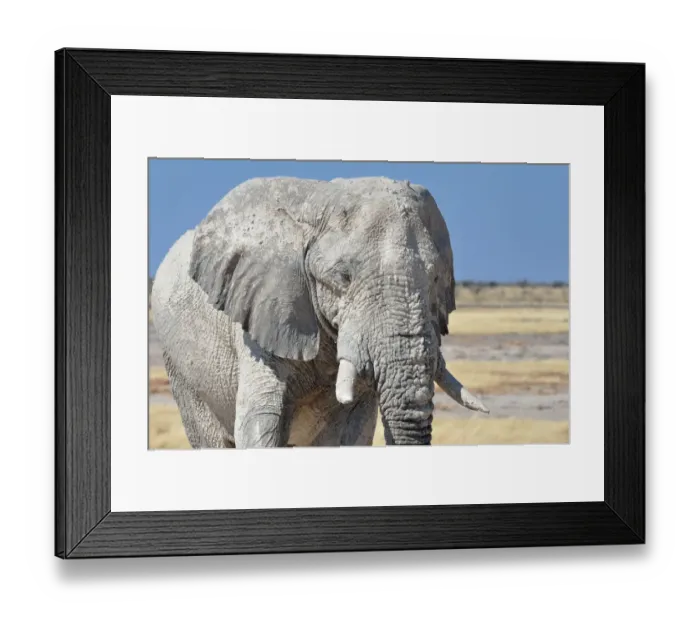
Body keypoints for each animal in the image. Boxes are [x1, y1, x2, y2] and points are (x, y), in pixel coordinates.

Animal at [150, 176, 489, 449]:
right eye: (343, 277)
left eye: (435, 278)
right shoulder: (263, 312)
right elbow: (260, 419)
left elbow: (354, 431)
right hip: (181, 369)